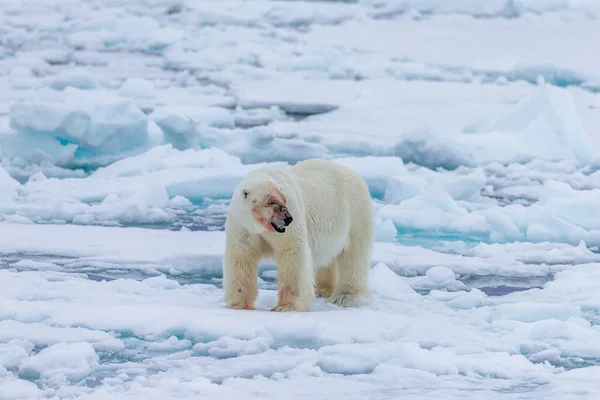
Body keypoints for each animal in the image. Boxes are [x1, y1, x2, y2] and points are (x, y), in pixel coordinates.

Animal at [223, 157, 372, 312]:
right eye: (270, 202)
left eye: (284, 200)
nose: (288, 219)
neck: (261, 227)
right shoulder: (242, 225)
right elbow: (241, 257)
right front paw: (239, 304)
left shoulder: (292, 219)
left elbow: (292, 253)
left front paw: (286, 306)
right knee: (325, 259)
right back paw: (321, 291)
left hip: (355, 213)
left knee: (354, 256)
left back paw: (345, 297)